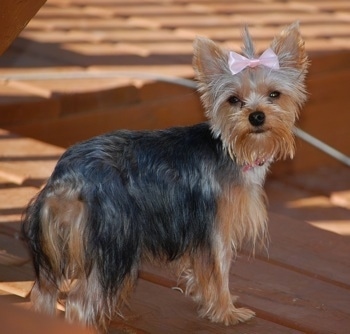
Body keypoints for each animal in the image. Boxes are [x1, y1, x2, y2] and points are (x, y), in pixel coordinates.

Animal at [21, 21, 308, 332]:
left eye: (274, 94)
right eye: (234, 100)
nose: (256, 116)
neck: (233, 151)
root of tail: (68, 178)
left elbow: (202, 276)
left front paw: (208, 303)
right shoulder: (214, 229)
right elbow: (219, 273)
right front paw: (227, 312)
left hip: (56, 248)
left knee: (44, 292)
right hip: (115, 241)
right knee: (79, 301)